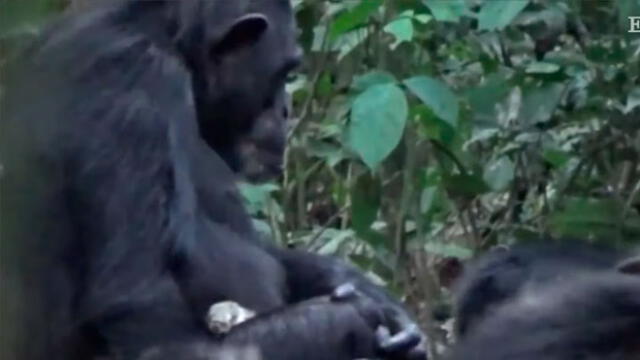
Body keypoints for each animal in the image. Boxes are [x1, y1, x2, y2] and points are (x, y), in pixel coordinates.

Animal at [0, 0, 428, 360]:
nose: (287, 108)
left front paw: (367, 292)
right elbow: (151, 327)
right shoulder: (133, 89)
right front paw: (362, 315)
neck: (168, 39)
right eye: (285, 72)